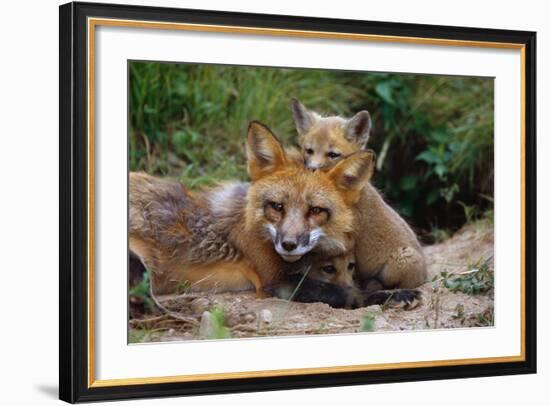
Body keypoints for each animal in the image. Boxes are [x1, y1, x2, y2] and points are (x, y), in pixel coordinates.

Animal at [129, 121, 376, 298]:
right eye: (277, 206)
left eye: (315, 210)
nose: (288, 244)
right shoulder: (274, 280)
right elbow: (344, 293)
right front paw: (384, 295)